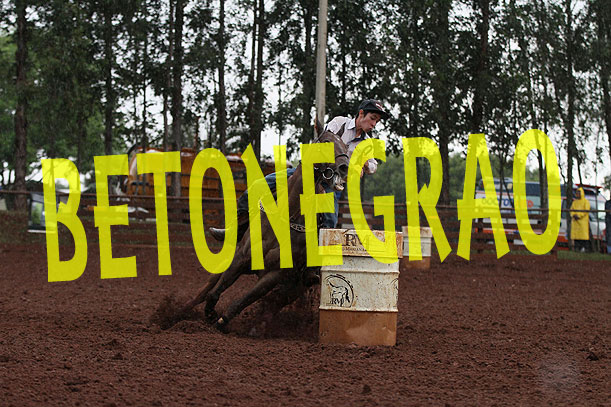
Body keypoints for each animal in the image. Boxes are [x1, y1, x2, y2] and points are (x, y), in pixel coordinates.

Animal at [179, 120, 350, 332]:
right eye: (326, 141)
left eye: (346, 146)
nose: (344, 167)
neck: (288, 214)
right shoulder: (242, 257)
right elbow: (216, 291)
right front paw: (210, 313)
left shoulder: (274, 276)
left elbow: (244, 300)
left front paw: (221, 320)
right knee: (206, 289)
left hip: (292, 287)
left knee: (273, 304)